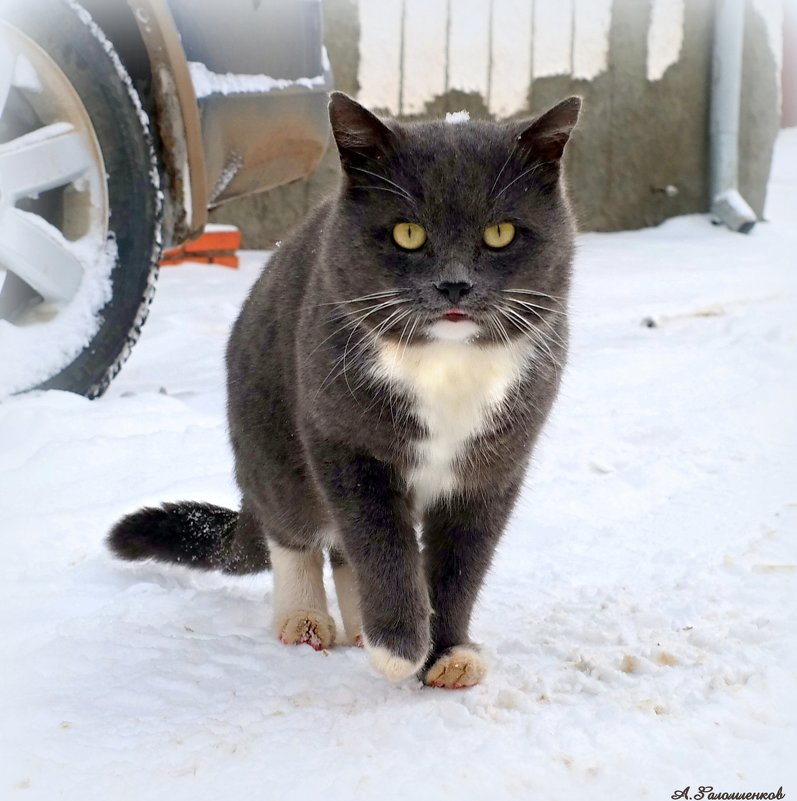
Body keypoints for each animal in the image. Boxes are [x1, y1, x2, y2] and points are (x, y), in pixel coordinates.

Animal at [109, 89, 580, 688]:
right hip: (272, 440)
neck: (445, 368)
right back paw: (306, 619)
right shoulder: (344, 441)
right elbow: (381, 544)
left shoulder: (493, 468)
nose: (454, 284)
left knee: (344, 552)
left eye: (500, 234)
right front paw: (400, 645)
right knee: (297, 534)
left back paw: (360, 628)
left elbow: (460, 565)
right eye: (408, 233)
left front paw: (446, 652)